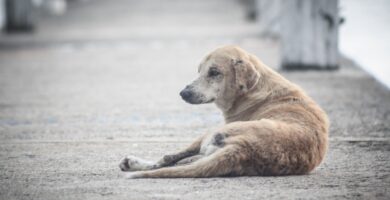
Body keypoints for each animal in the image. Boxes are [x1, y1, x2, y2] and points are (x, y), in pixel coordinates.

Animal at [119, 45, 330, 178]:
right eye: (199, 71)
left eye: (214, 72)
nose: (183, 93)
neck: (254, 89)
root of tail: (244, 148)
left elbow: (170, 157)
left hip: (211, 133)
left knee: (169, 160)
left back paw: (134, 163)